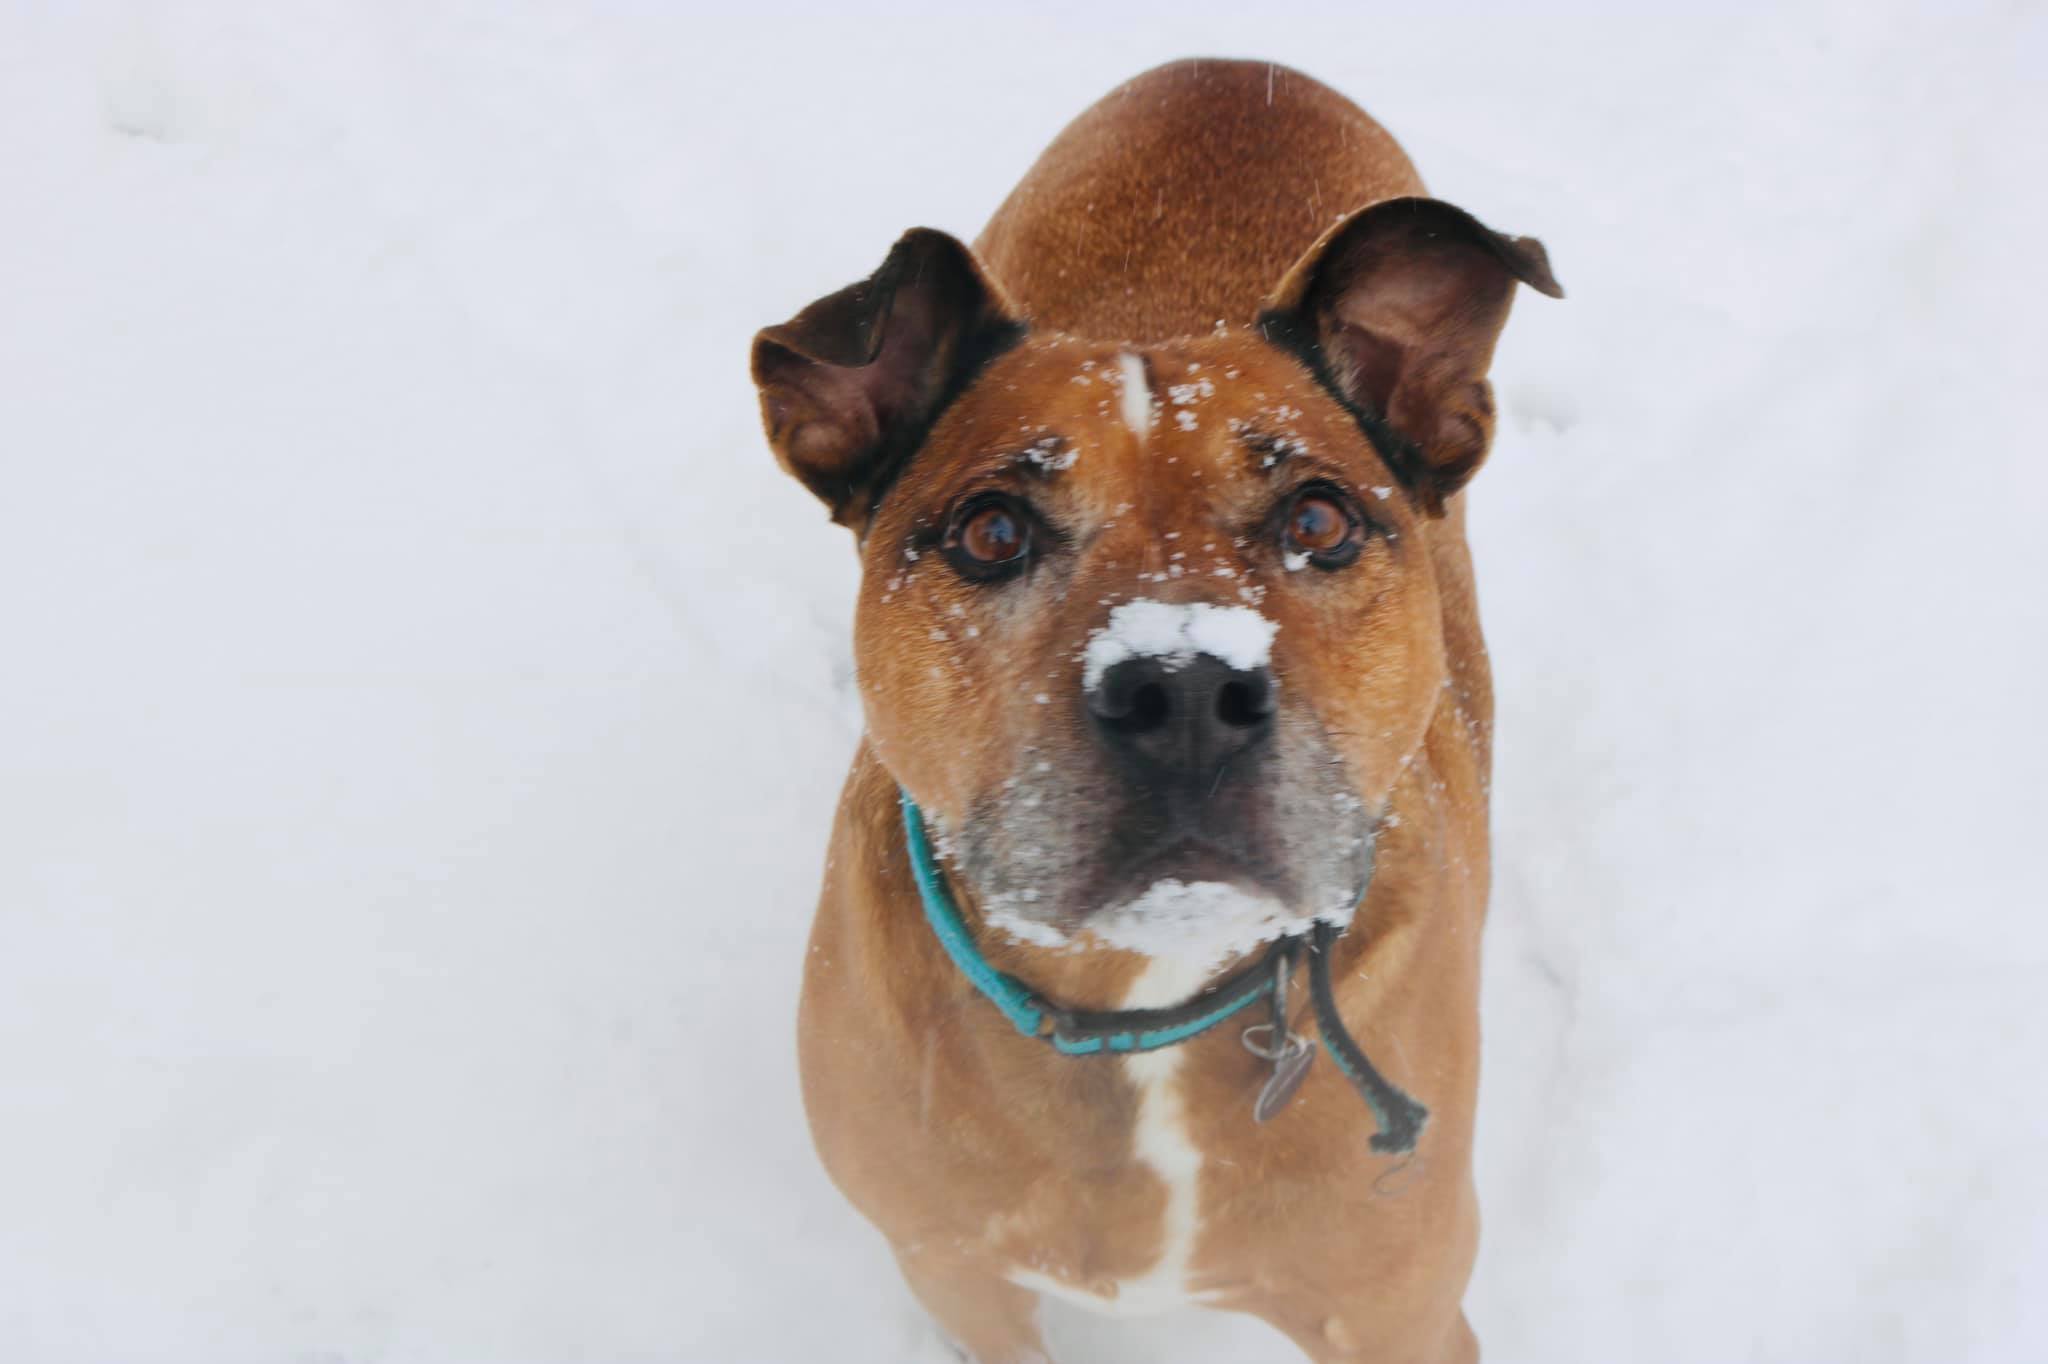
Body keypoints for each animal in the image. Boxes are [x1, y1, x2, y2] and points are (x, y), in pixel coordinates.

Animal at [745, 55, 1556, 1359]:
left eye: (1318, 518)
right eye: (990, 530)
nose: (1181, 691)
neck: (1141, 1008)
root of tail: (1237, 67)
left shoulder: (1400, 1312)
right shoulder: (950, 1271)